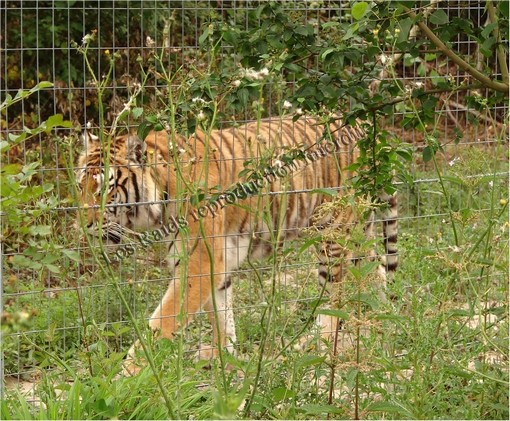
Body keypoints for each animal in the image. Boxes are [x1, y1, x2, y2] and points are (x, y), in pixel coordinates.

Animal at [75, 115, 398, 370]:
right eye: (81, 186)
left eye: (105, 191)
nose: (85, 226)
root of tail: (363, 126)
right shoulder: (214, 261)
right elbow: (221, 314)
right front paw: (224, 359)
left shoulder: (199, 261)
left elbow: (163, 321)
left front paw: (130, 373)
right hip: (357, 231)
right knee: (375, 269)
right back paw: (380, 321)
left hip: (333, 233)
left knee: (336, 297)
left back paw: (316, 344)